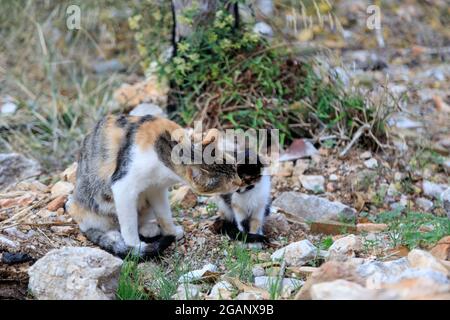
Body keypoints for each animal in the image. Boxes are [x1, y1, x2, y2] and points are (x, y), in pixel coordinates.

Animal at [67, 114, 241, 258]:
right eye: (227, 182)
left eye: (234, 169)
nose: (240, 182)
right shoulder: (123, 187)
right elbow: (128, 223)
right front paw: (135, 246)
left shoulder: (157, 189)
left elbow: (164, 214)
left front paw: (171, 231)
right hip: (87, 207)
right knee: (98, 227)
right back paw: (115, 237)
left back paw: (149, 229)